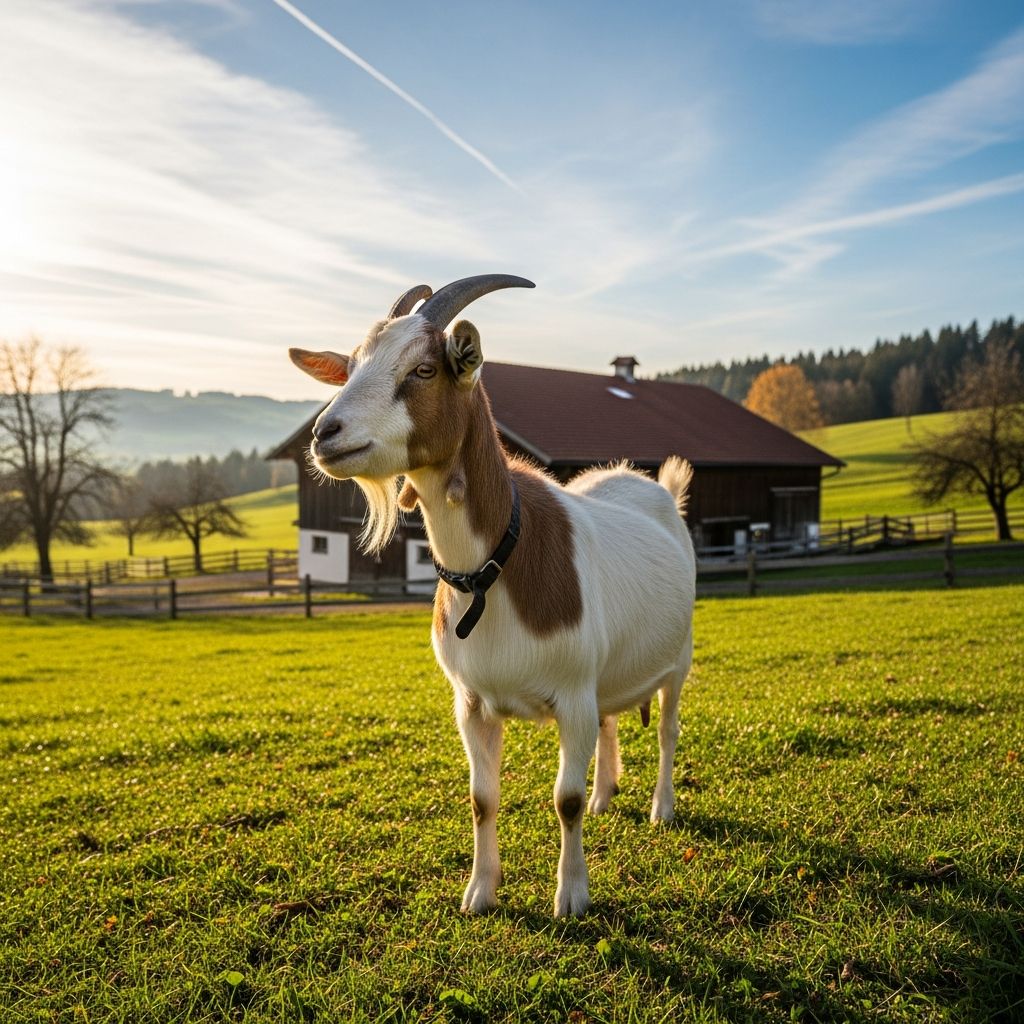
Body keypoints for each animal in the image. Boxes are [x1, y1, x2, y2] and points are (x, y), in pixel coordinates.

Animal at [289, 275, 696, 917]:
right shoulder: (473, 703)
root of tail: (656, 488)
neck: (492, 568)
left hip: (678, 659)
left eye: (424, 369)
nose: (324, 434)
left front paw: (572, 896)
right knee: (612, 720)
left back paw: (662, 807)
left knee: (667, 729)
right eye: (351, 365)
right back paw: (607, 795)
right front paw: (480, 892)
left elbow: (564, 800)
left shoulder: (572, 696)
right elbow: (483, 798)